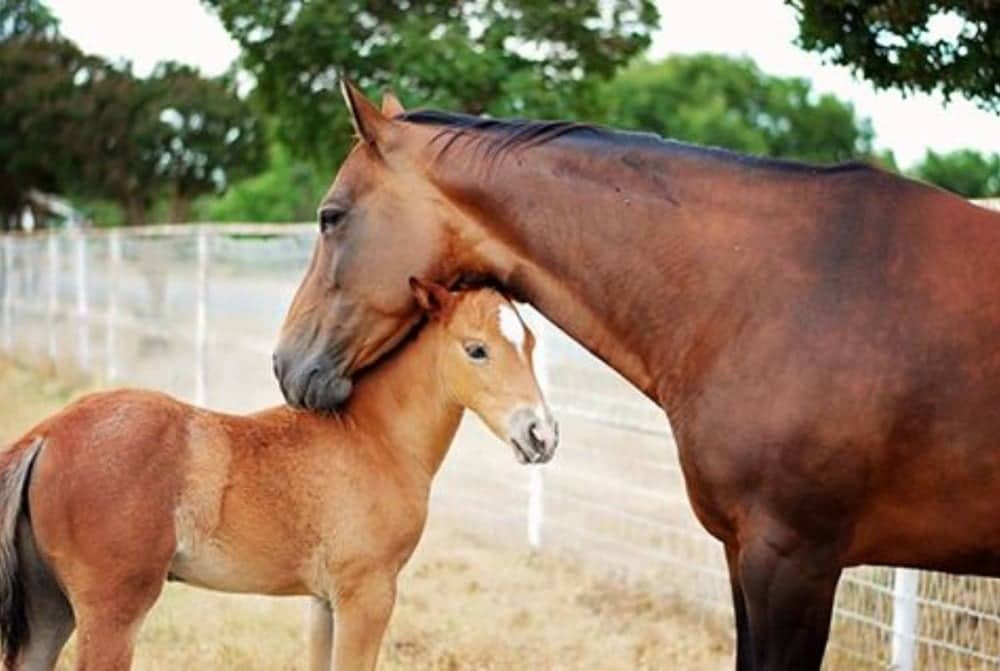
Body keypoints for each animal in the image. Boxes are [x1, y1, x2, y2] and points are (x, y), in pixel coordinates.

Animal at [0, 281, 558, 671]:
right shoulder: (368, 595)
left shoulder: (324, 601)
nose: (541, 434)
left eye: (531, 343)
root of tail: (47, 434)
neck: (372, 439)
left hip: (52, 608)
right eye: (476, 349)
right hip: (111, 612)